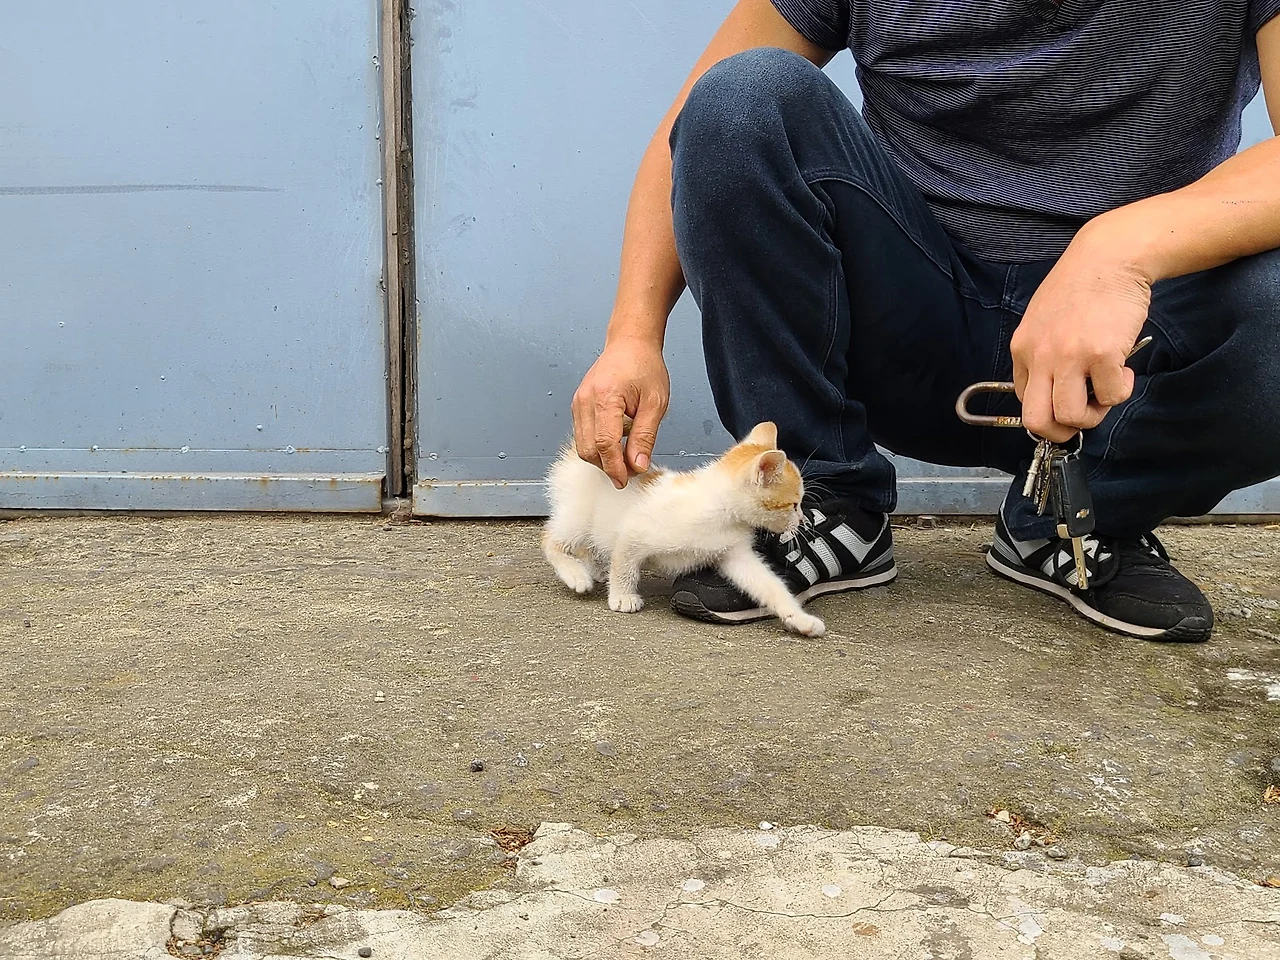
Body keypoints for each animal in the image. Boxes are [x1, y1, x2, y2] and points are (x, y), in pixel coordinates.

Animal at [541, 421, 826, 637]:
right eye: (794, 504)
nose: (803, 520)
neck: (720, 512)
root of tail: (577, 455)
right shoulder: (635, 531)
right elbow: (624, 566)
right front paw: (622, 596)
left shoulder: (735, 554)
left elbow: (770, 586)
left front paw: (800, 619)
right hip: (579, 515)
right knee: (551, 539)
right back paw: (576, 575)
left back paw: (594, 569)